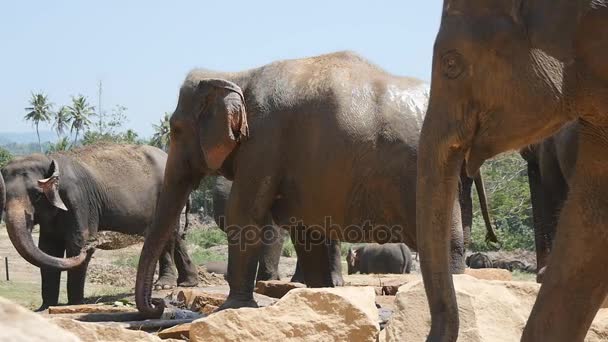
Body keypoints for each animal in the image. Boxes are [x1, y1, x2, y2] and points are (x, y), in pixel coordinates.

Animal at [0, 144, 197, 310]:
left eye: (36, 195)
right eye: (3, 196)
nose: (95, 241)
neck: (51, 159)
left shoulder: (79, 201)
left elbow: (76, 242)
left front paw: (75, 303)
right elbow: (48, 249)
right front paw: (46, 307)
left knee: (169, 235)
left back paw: (164, 284)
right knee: (174, 236)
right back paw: (188, 283)